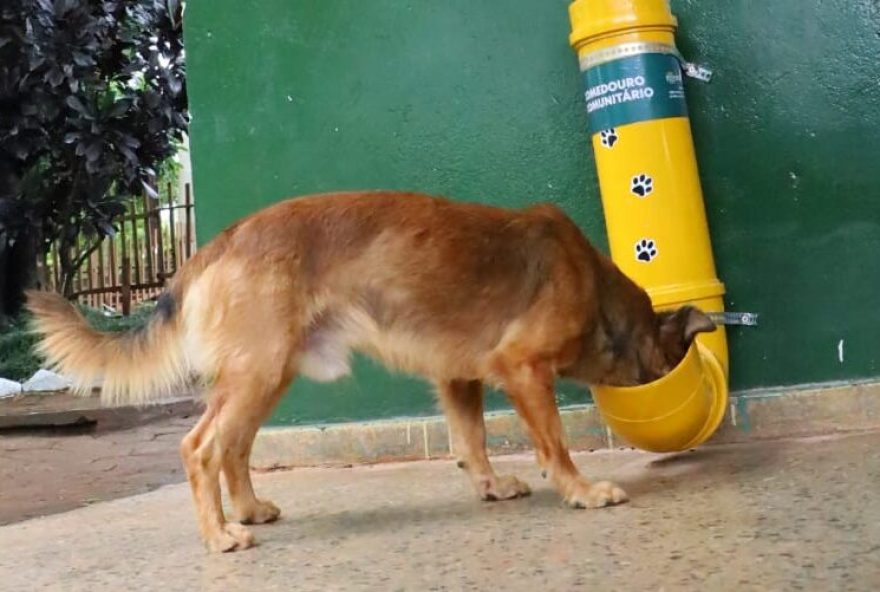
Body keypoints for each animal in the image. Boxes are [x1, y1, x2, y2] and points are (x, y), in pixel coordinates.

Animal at [27, 192, 716, 552]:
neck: (597, 292)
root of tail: (218, 243)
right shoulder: (521, 369)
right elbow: (554, 443)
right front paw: (581, 491)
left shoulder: (458, 377)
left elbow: (471, 440)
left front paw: (490, 486)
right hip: (258, 374)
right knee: (201, 447)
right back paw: (221, 536)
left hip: (268, 375)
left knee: (234, 447)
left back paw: (246, 511)